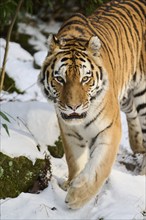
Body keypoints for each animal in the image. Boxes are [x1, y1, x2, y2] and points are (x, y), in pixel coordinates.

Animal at [38, 0, 145, 210]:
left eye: (85, 78)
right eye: (59, 79)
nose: (73, 107)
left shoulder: (109, 129)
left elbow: (98, 167)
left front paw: (76, 196)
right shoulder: (69, 131)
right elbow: (74, 161)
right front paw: (70, 183)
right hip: (126, 96)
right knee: (132, 115)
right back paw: (137, 145)